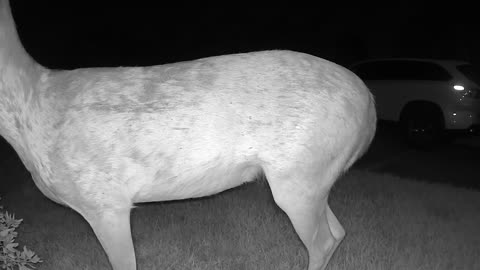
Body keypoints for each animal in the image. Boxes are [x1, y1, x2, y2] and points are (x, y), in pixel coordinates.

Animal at [0, 1, 376, 268]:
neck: (34, 107)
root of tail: (370, 106)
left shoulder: (105, 201)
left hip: (298, 176)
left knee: (323, 241)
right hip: (314, 176)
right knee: (337, 232)